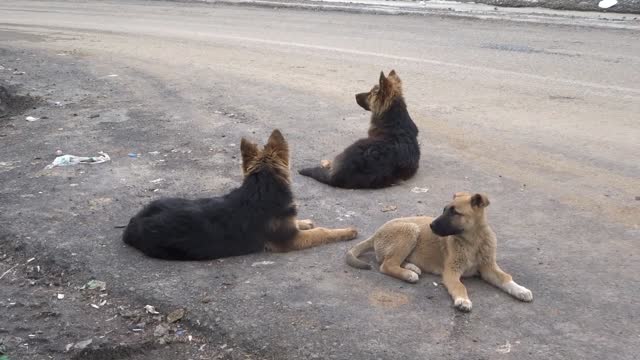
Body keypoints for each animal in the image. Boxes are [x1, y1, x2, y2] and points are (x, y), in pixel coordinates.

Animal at [122, 131, 358, 260]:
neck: (262, 188)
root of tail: (132, 224)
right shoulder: (290, 241)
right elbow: (322, 232)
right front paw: (346, 231)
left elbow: (301, 223)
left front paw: (305, 221)